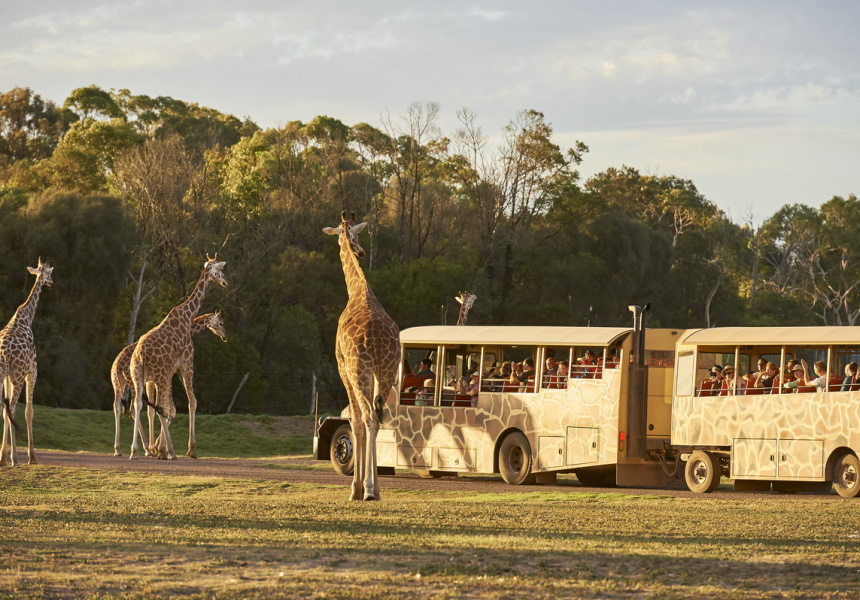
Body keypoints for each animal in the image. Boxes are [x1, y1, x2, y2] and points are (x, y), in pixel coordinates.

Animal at [0, 256, 53, 464]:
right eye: (50, 272)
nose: (51, 282)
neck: (26, 317)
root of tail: (4, 353)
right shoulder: (32, 370)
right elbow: (28, 412)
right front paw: (32, 457)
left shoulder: (7, 377)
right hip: (18, 376)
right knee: (13, 408)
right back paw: (14, 458)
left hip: (4, 375)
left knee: (5, 409)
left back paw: (6, 457)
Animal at [113, 312, 228, 458]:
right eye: (221, 323)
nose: (225, 337)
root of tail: (118, 364)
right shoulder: (166, 375)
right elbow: (168, 409)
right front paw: (158, 447)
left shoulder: (154, 380)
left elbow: (153, 410)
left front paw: (156, 446)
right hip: (133, 381)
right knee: (134, 406)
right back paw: (145, 448)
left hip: (118, 383)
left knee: (117, 406)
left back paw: (119, 449)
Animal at [127, 254, 227, 460]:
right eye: (221, 270)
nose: (225, 282)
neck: (187, 316)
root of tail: (140, 355)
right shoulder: (187, 364)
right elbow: (191, 402)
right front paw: (191, 450)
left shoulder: (171, 372)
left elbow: (168, 408)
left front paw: (158, 448)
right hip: (159, 376)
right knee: (159, 407)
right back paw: (168, 452)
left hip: (138, 376)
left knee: (139, 404)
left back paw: (136, 451)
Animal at [324, 212, 402, 502]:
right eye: (356, 235)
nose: (360, 250)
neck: (358, 290)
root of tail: (378, 343)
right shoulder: (375, 374)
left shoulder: (342, 368)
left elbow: (355, 422)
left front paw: (355, 488)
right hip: (387, 372)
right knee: (379, 418)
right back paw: (375, 489)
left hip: (360, 371)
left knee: (368, 417)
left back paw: (368, 489)